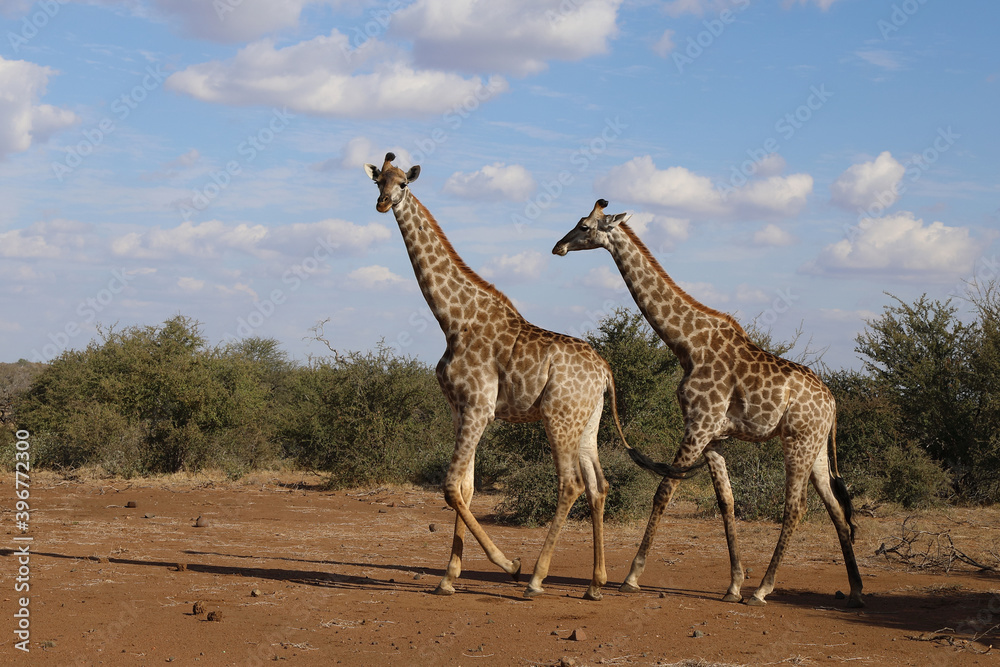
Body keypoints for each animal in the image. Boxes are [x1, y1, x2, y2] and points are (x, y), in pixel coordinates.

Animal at [363, 155, 678, 600]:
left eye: (404, 183)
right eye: (379, 181)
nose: (383, 203)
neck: (452, 320)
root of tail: (605, 372)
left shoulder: (478, 407)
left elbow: (450, 487)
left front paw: (507, 564)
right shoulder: (461, 411)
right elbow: (466, 488)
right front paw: (448, 578)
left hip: (558, 418)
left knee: (570, 484)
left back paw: (535, 579)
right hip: (588, 422)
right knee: (598, 485)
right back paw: (595, 583)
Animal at [551, 199, 863, 608]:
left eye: (585, 226)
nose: (558, 247)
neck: (687, 344)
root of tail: (832, 403)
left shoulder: (697, 425)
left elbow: (663, 491)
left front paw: (632, 577)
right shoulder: (713, 436)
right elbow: (725, 501)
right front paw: (733, 585)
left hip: (797, 441)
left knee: (796, 507)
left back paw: (763, 590)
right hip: (817, 448)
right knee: (836, 508)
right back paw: (855, 589)